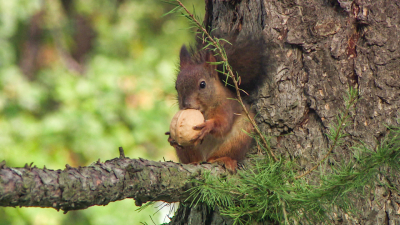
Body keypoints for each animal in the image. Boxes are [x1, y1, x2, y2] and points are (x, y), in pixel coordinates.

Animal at [168, 36, 266, 171]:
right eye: (176, 86)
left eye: (202, 84)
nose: (186, 104)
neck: (204, 110)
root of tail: (205, 156)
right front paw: (170, 137)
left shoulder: (226, 106)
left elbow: (223, 124)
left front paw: (208, 126)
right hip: (190, 149)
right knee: (192, 158)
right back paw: (193, 161)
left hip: (239, 137)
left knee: (220, 155)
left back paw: (224, 159)